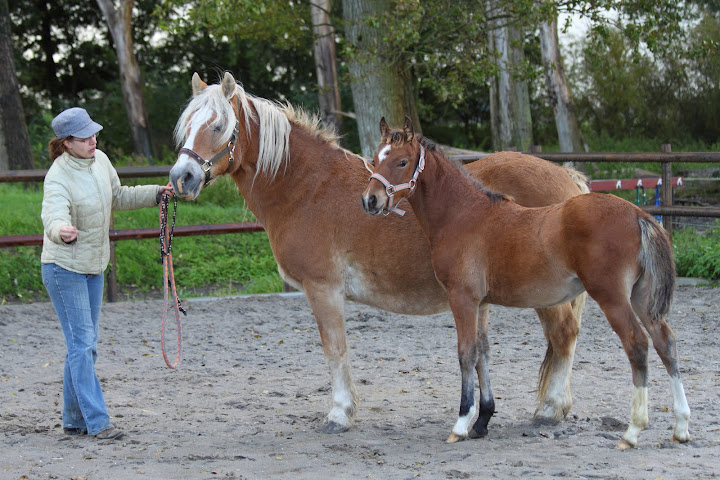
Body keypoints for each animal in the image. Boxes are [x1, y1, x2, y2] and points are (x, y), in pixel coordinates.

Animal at [169, 71, 589, 435]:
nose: (181, 177)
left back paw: (550, 409)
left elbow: (335, 349)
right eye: (186, 125)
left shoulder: (323, 289)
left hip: (545, 295)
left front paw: (340, 413)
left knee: (564, 335)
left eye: (218, 126)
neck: (307, 187)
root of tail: (570, 179)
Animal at [361, 116, 691, 449]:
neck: (464, 215)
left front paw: (461, 423)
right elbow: (482, 352)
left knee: (636, 344)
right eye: (375, 159)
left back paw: (632, 431)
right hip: (642, 297)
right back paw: (681, 426)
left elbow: (466, 353)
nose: (370, 200)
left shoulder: (462, 298)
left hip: (612, 297)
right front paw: (482, 420)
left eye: (402, 161)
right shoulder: (481, 303)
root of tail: (637, 214)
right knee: (666, 342)